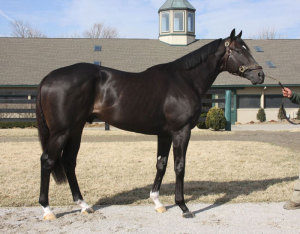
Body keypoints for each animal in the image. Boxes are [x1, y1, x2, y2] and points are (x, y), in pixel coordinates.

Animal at [36, 29, 264, 219]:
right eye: (238, 50)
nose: (260, 74)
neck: (185, 80)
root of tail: (48, 78)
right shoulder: (181, 132)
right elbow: (179, 166)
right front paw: (183, 207)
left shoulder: (164, 134)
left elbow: (161, 164)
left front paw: (157, 202)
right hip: (61, 132)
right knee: (47, 161)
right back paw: (47, 210)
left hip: (76, 129)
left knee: (69, 162)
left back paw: (83, 205)